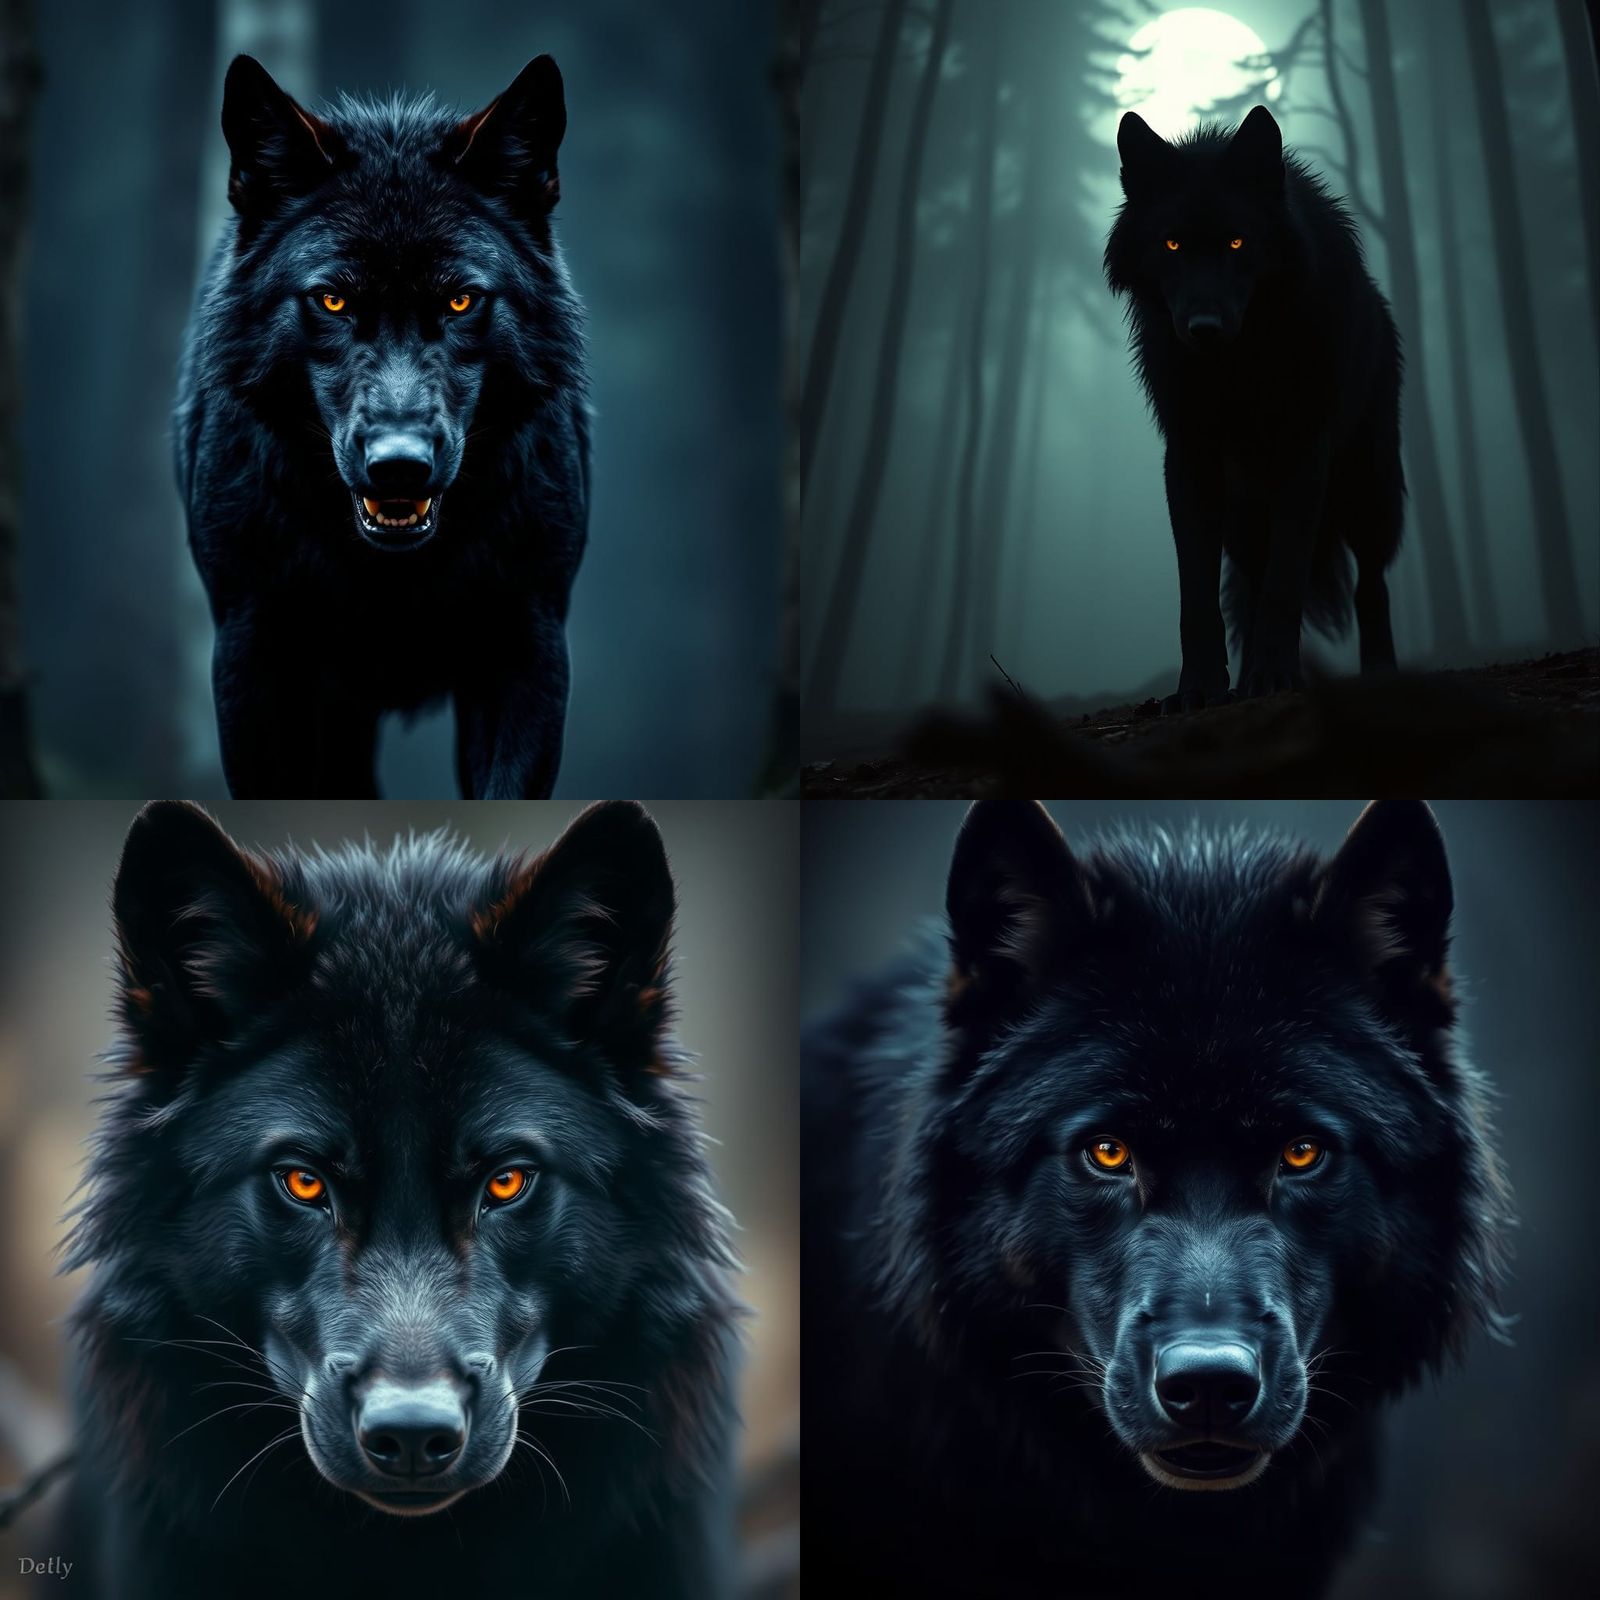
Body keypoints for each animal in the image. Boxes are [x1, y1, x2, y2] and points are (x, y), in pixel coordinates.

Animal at [176, 54, 589, 796]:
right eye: (333, 301)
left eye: (461, 301)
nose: (400, 467)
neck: (390, 575)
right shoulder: (252, 653)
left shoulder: (530, 643)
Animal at [1105, 106, 1402, 710]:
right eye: (1172, 245)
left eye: (1239, 243)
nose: (1204, 329)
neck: (1241, 365)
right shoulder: (1190, 459)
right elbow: (1197, 598)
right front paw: (1199, 689)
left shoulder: (1304, 452)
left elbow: (1285, 584)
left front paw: (1273, 679)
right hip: (1243, 521)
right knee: (1248, 586)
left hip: (1368, 490)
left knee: (1370, 586)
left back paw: (1379, 676)